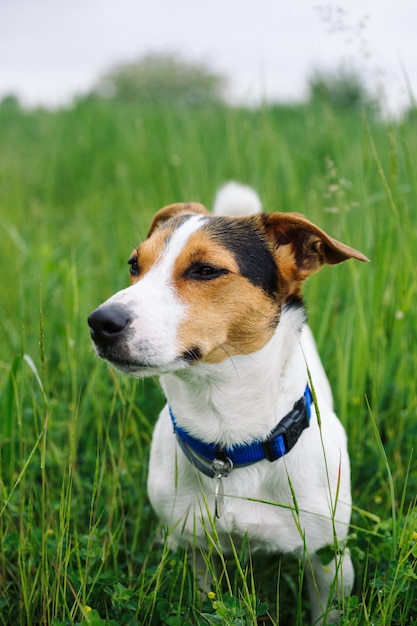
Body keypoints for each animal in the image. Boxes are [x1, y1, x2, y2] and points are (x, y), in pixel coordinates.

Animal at [88, 180, 368, 620]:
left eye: (206, 269)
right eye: (134, 265)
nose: (100, 322)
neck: (229, 441)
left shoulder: (329, 560)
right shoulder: (196, 549)